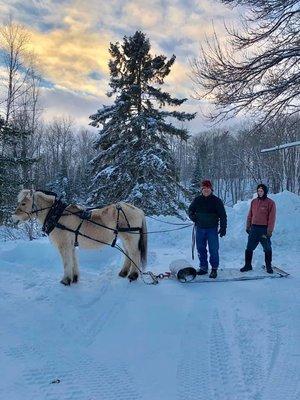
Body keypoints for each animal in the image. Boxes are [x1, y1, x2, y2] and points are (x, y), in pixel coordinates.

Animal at [12, 190, 148, 284]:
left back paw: (133, 275)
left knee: (135, 253)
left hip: (130, 238)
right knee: (128, 253)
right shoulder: (70, 245)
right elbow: (73, 260)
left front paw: (65, 280)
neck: (57, 215)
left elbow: (67, 262)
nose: (13, 216)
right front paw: (74, 278)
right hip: (124, 238)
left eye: (23, 203)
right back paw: (123, 272)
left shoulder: (64, 245)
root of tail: (138, 210)